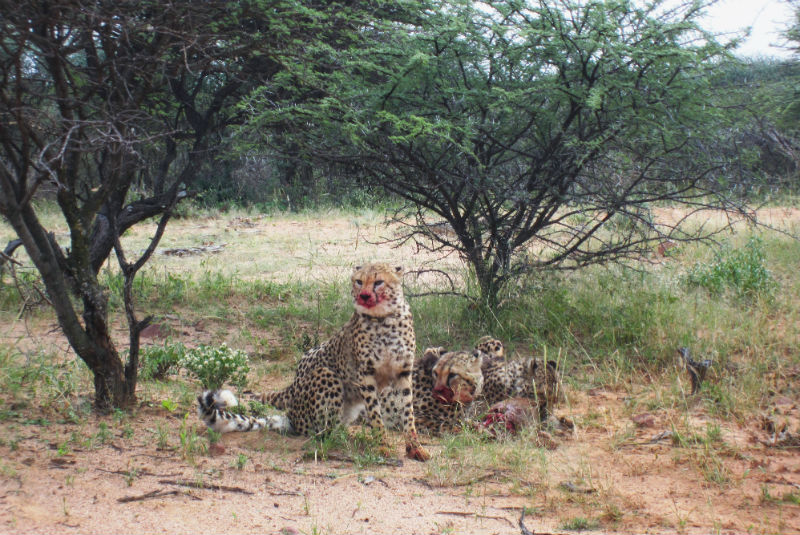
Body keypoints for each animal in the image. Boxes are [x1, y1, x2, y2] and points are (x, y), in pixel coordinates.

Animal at [260, 262, 428, 460]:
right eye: (359, 281)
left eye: (379, 282)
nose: (364, 295)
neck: (383, 319)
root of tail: (292, 388)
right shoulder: (366, 374)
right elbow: (375, 413)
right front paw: (382, 445)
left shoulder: (403, 372)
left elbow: (408, 412)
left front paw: (415, 447)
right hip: (325, 374)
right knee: (322, 432)